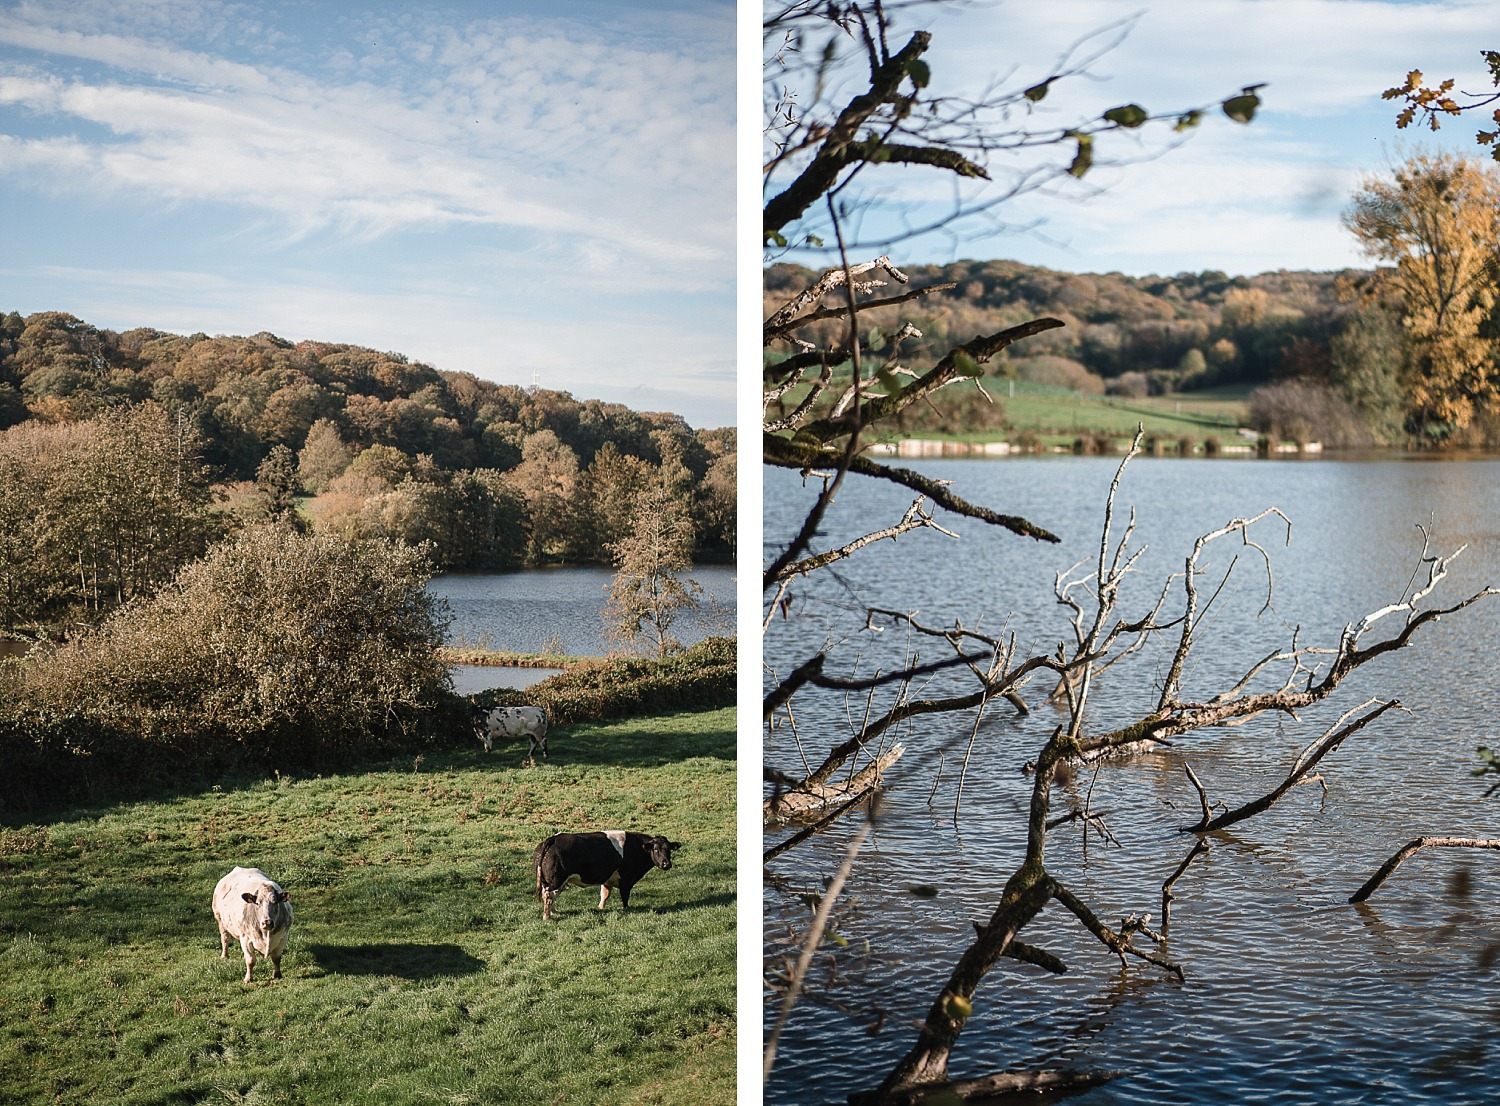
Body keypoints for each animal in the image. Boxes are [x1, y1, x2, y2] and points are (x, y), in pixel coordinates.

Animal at [534, 834, 687, 918]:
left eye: (669, 849)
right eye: (656, 849)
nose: (666, 864)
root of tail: (553, 838)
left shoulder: (608, 880)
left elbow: (604, 895)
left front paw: (600, 908)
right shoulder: (626, 880)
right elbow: (625, 897)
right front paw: (626, 910)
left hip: (554, 881)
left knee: (551, 896)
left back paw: (554, 912)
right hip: (556, 880)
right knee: (549, 896)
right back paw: (547, 917)